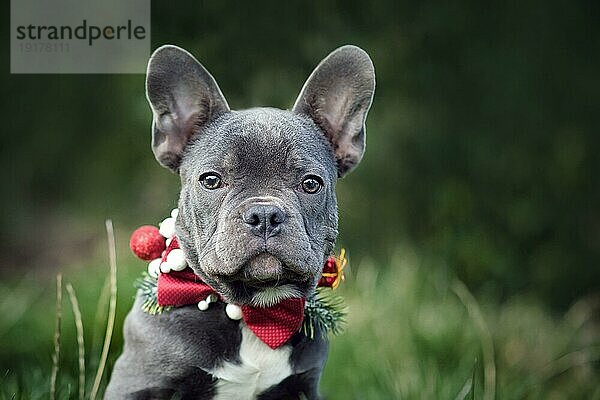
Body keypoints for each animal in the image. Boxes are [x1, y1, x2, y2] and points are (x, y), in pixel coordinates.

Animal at [105, 44, 372, 400]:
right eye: (211, 180)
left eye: (311, 184)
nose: (264, 215)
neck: (256, 312)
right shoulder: (138, 383)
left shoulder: (303, 387)